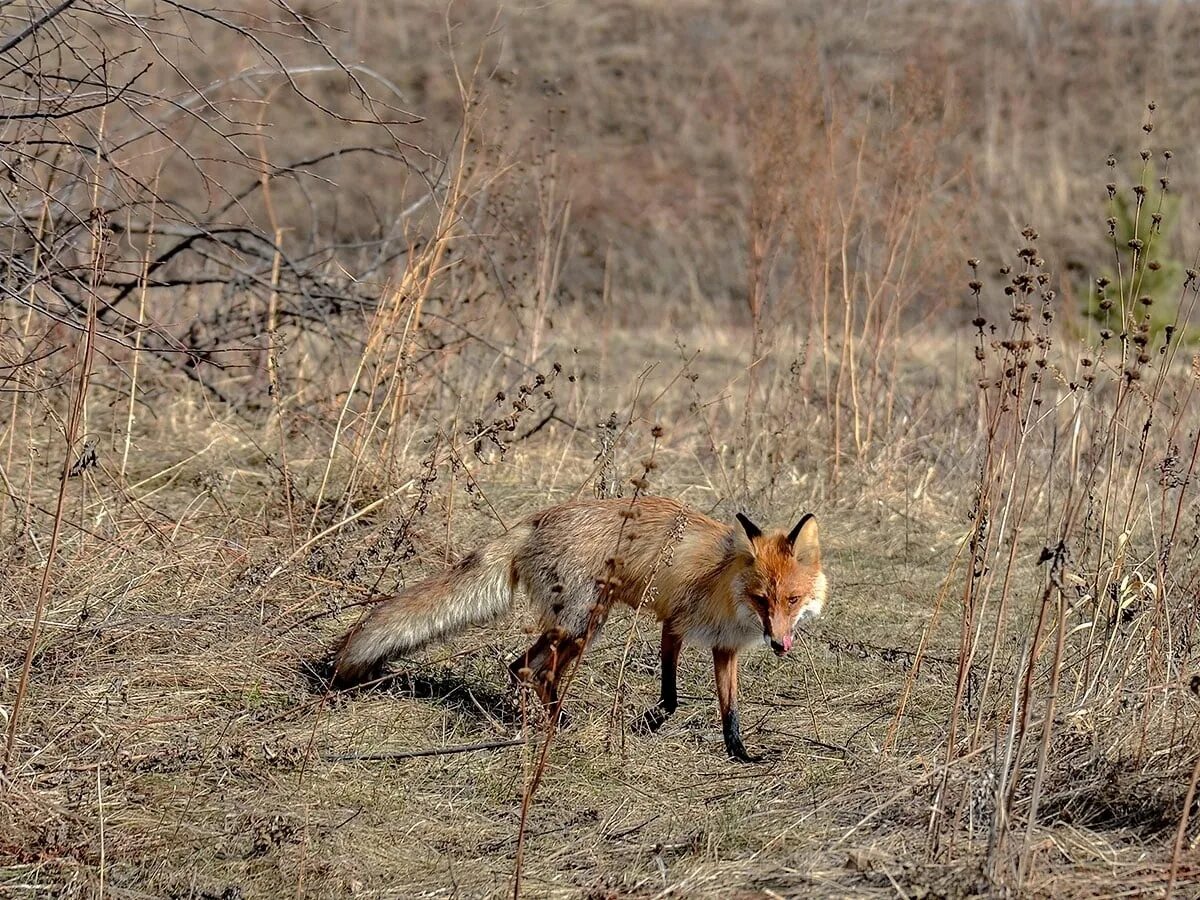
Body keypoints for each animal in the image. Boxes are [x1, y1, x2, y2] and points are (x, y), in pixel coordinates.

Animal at [328, 496, 825, 763]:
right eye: (762, 599)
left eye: (791, 600)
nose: (779, 644)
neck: (726, 584)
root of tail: (537, 519)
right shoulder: (675, 624)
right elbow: (670, 697)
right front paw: (646, 725)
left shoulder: (725, 649)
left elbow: (730, 712)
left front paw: (741, 754)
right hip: (583, 624)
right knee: (529, 669)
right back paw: (553, 724)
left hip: (580, 626)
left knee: (528, 669)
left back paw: (550, 720)